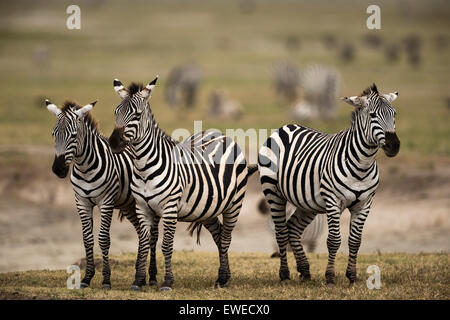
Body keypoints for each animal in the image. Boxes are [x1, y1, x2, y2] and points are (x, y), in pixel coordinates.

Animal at [45, 100, 160, 290]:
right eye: (54, 134)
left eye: (73, 136)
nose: (58, 169)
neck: (85, 168)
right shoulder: (82, 202)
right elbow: (87, 239)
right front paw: (86, 278)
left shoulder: (106, 202)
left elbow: (104, 239)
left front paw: (106, 280)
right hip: (129, 205)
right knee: (140, 233)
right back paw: (141, 275)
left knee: (152, 236)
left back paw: (151, 276)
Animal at [107, 76, 256, 292]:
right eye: (116, 112)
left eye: (137, 114)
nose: (113, 143)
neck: (143, 168)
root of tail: (220, 133)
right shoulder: (142, 207)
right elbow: (143, 243)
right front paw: (138, 280)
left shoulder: (169, 208)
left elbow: (167, 245)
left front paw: (167, 281)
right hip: (207, 208)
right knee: (219, 235)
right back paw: (223, 276)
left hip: (234, 204)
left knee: (226, 238)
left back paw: (223, 278)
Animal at [256, 84, 400, 284]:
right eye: (372, 115)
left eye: (394, 114)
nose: (394, 146)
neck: (362, 166)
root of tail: (285, 127)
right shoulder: (333, 201)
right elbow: (333, 241)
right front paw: (330, 276)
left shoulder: (365, 204)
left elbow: (355, 241)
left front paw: (352, 276)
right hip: (273, 192)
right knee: (281, 232)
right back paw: (284, 274)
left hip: (307, 204)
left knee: (293, 229)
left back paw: (305, 271)